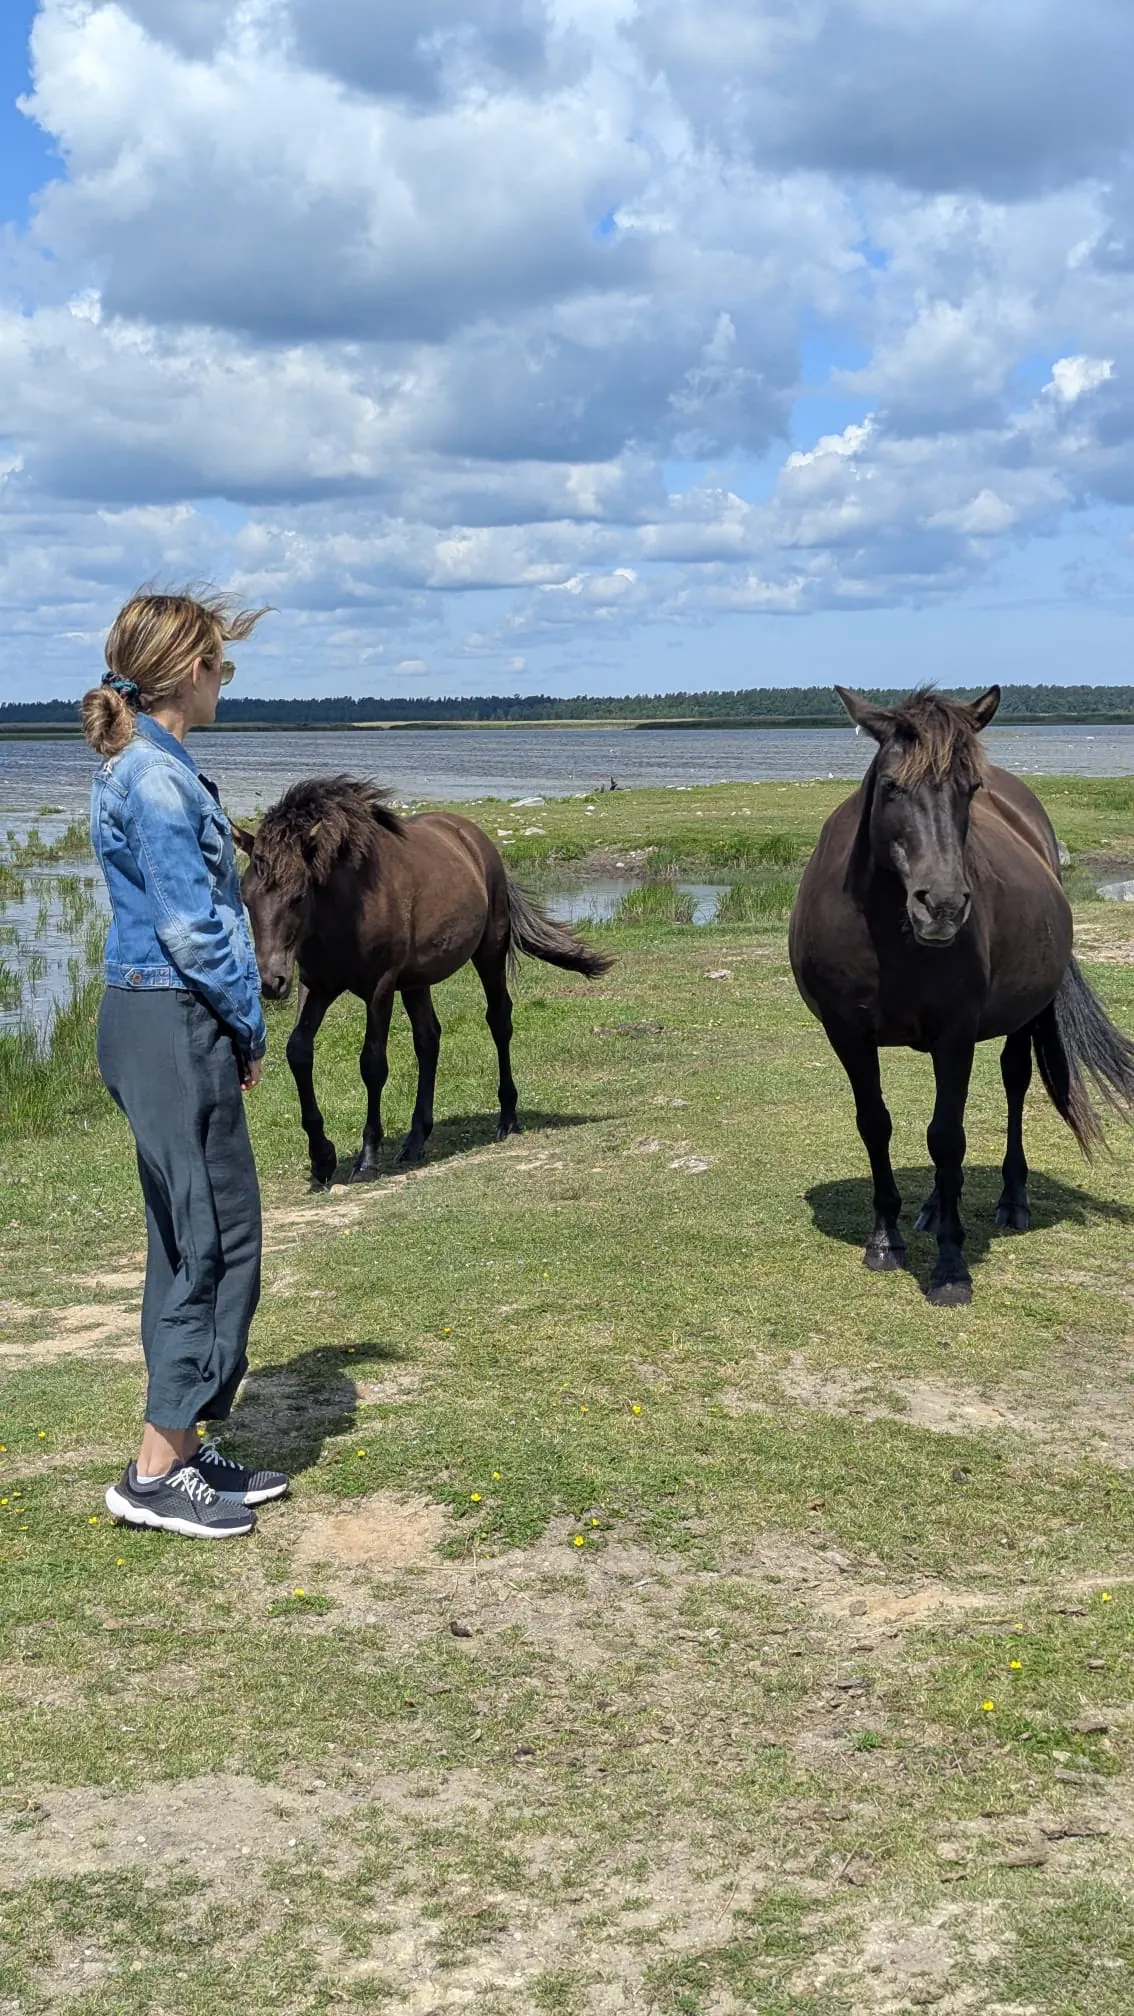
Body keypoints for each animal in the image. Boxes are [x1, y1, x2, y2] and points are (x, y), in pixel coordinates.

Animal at [233, 777, 612, 1186]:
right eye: (246, 898)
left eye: (299, 896)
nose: (271, 982)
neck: (346, 908)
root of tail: (474, 839)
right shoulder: (317, 985)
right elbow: (299, 1052)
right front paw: (322, 1157)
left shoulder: (379, 988)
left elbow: (372, 1064)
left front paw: (366, 1158)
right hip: (417, 982)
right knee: (428, 1040)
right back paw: (416, 1139)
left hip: (488, 952)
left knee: (499, 1021)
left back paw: (507, 1118)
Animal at [788, 685, 1134, 1306]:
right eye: (891, 786)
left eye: (968, 790)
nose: (943, 905)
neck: (887, 930)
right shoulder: (847, 1034)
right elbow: (875, 1124)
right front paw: (886, 1239)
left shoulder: (955, 1034)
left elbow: (947, 1139)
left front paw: (951, 1268)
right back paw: (929, 1208)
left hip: (1021, 1018)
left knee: (1015, 1083)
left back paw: (1012, 1200)